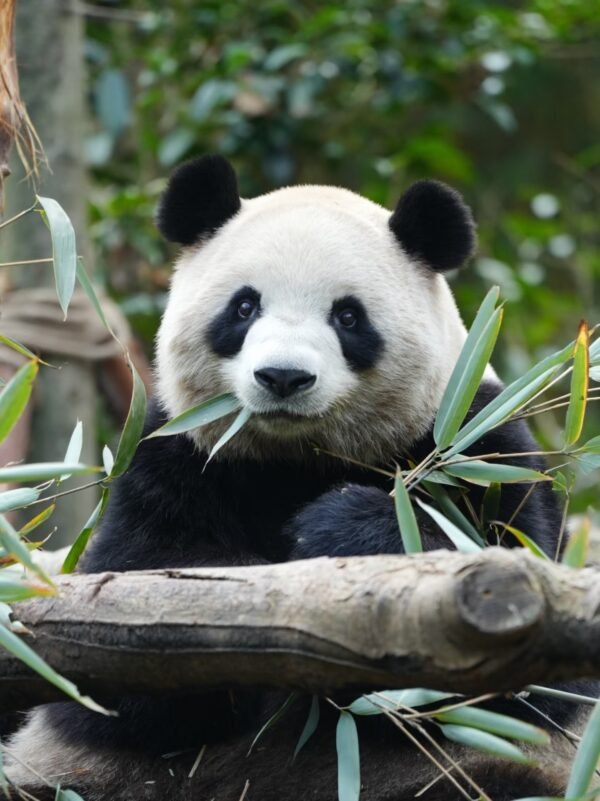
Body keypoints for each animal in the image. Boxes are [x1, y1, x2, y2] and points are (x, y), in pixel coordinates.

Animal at [4, 155, 594, 800]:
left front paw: (334, 530)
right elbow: (126, 640)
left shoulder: (473, 440)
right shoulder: (176, 452)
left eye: (348, 316)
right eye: (244, 308)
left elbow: (521, 658)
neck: (298, 457)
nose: (283, 377)